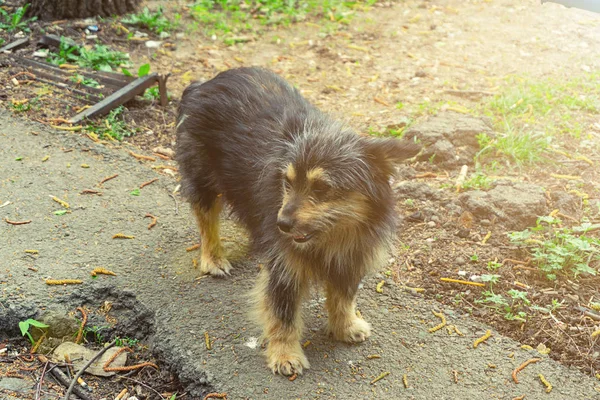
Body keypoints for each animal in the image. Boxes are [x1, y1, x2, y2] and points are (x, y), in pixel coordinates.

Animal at [176, 67, 420, 376]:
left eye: (322, 188)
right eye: (287, 182)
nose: (280, 224)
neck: (331, 236)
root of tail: (202, 83)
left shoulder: (351, 257)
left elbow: (343, 298)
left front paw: (345, 326)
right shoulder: (285, 268)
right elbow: (284, 313)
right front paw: (285, 354)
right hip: (203, 177)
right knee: (206, 219)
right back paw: (213, 257)